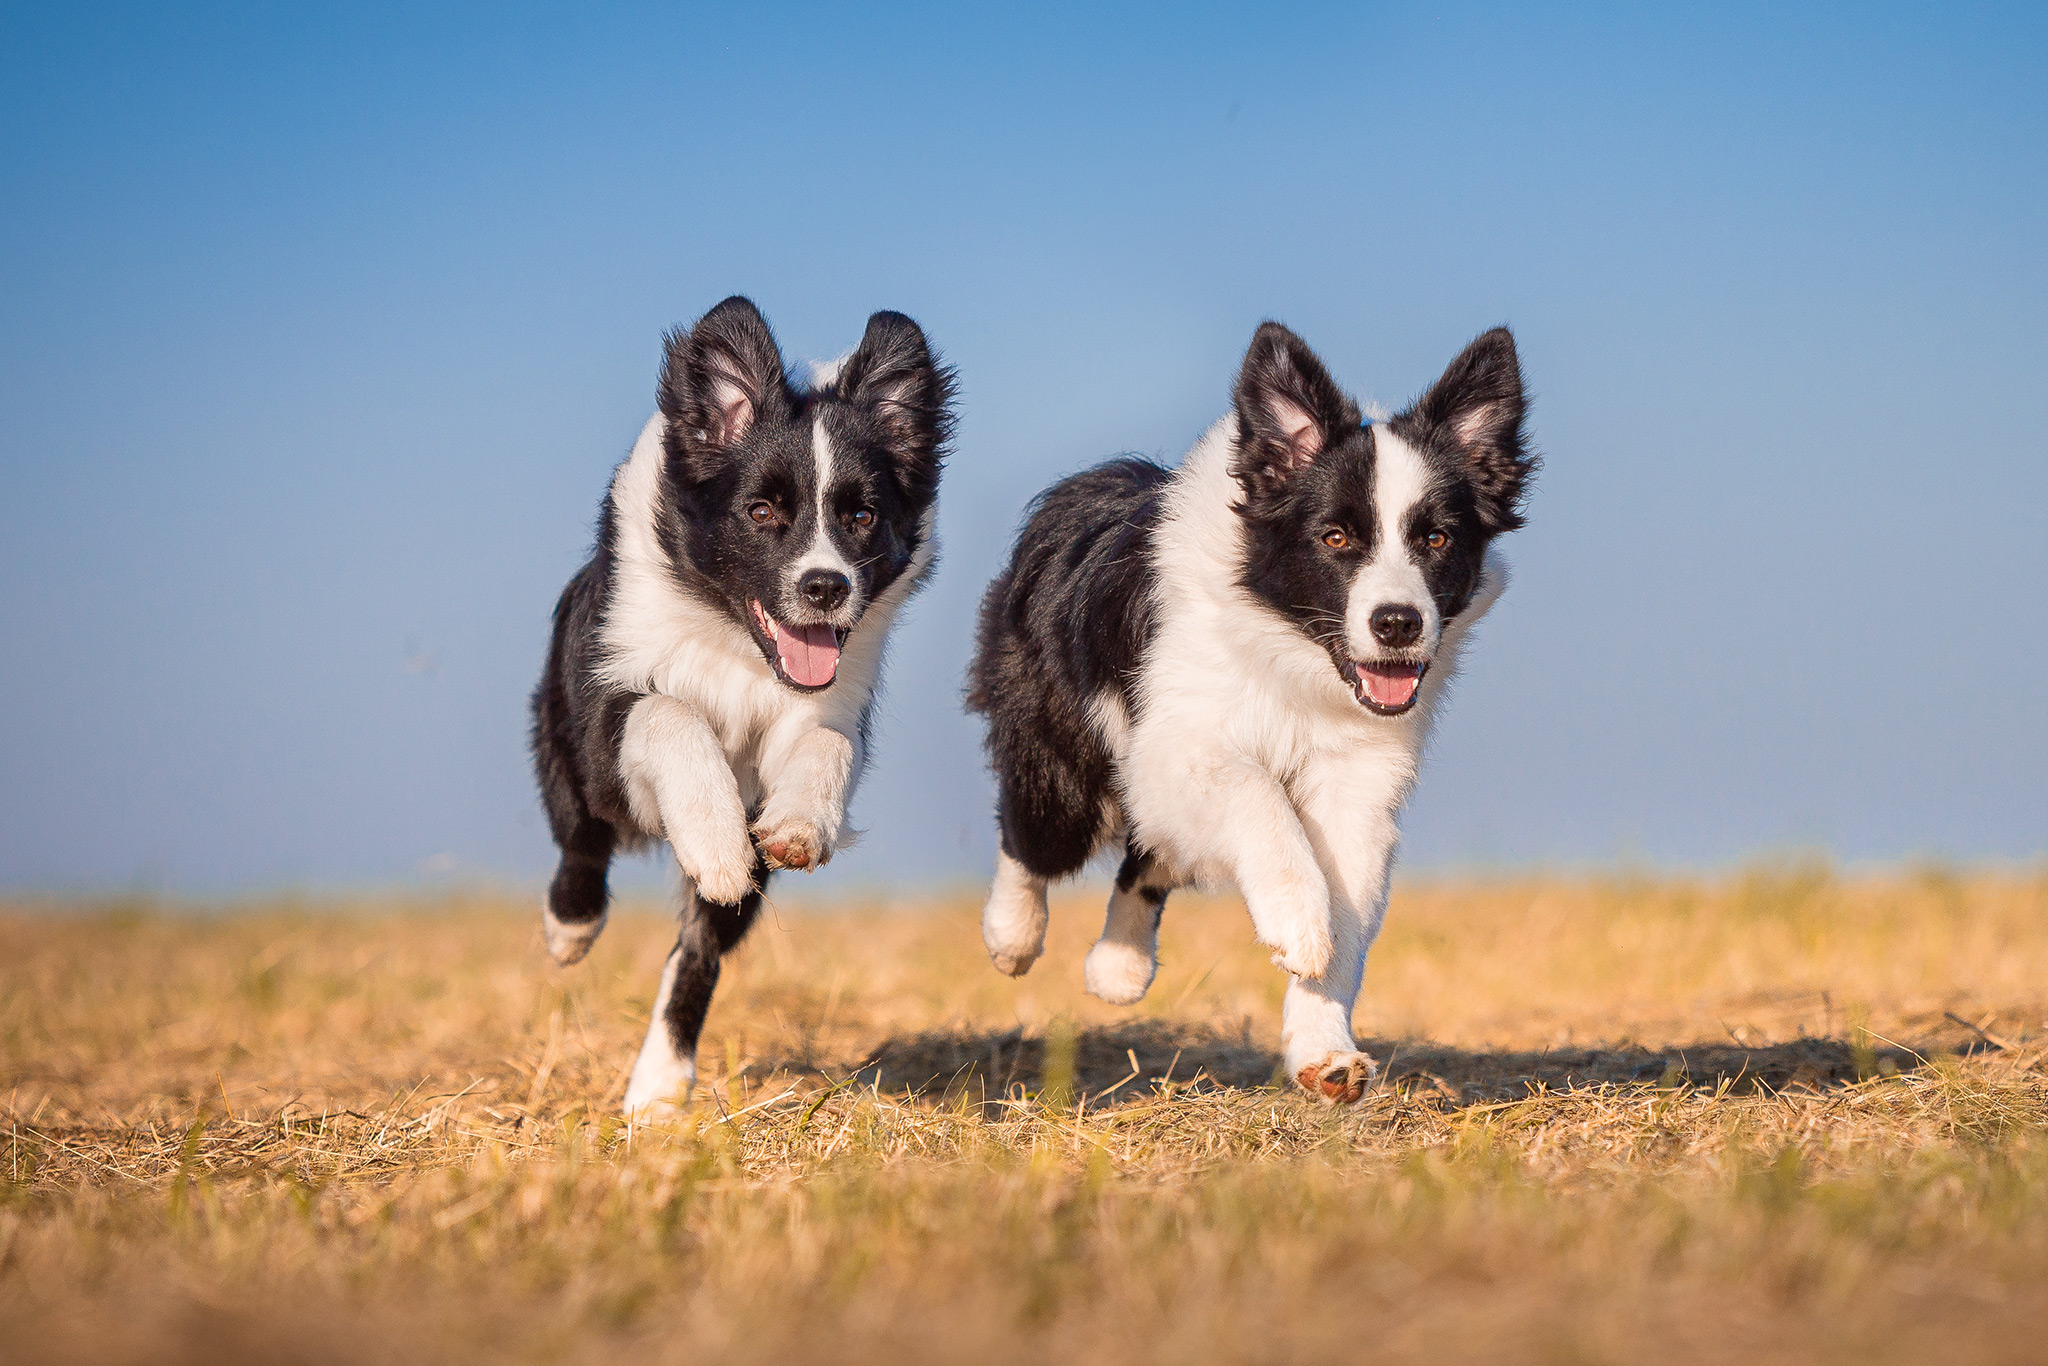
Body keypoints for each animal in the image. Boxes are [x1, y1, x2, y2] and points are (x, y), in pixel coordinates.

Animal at [520, 294, 950, 1114]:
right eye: (760, 511)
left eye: (861, 517)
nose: (826, 587)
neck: (736, 644)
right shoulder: (607, 701)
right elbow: (669, 713)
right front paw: (717, 844)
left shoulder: (827, 700)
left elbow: (828, 743)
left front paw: (797, 825)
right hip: (563, 738)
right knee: (580, 838)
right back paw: (569, 928)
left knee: (698, 950)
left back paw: (658, 1091)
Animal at [966, 325, 1531, 1105]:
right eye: (1335, 537)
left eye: (1437, 539)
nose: (1397, 623)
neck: (1293, 656)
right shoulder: (1180, 740)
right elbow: (1259, 796)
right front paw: (1297, 921)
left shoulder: (1356, 785)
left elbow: (1347, 917)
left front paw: (1325, 1051)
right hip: (1067, 762)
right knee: (1033, 832)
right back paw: (1012, 936)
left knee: (1148, 854)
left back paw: (1118, 968)